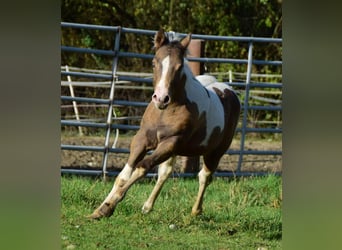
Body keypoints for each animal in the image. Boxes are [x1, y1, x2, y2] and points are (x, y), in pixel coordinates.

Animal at [89, 30, 242, 220]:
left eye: (179, 66)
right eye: (154, 63)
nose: (161, 98)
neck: (166, 111)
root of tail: (229, 91)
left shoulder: (170, 142)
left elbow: (142, 167)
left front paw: (109, 207)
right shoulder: (142, 139)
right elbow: (124, 175)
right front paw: (102, 207)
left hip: (215, 152)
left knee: (204, 176)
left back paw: (196, 211)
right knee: (165, 172)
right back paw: (147, 206)